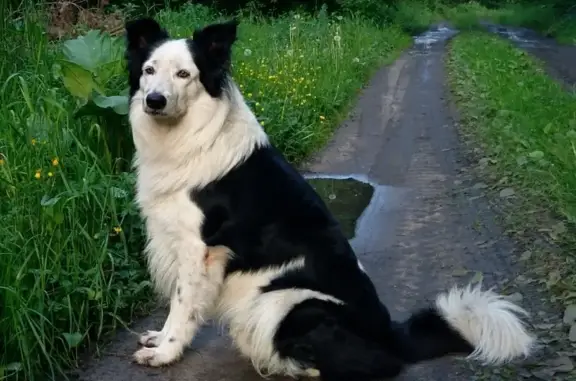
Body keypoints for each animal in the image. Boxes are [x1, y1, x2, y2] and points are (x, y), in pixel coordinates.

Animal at [125, 17, 536, 380]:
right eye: (148, 70)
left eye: (184, 74)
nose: (155, 101)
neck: (188, 138)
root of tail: (391, 334)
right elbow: (176, 306)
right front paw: (159, 339)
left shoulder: (200, 249)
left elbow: (182, 307)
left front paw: (165, 353)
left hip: (287, 303)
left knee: (373, 365)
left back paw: (287, 366)